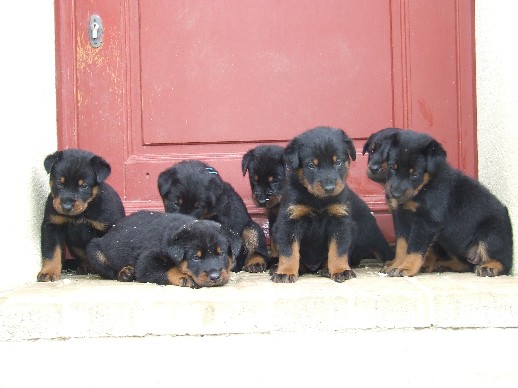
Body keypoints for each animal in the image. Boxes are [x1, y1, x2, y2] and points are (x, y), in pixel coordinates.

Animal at [37, 149, 126, 282]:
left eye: (84, 186)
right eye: (59, 183)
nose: (67, 207)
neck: (78, 215)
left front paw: (121, 270)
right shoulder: (52, 225)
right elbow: (51, 252)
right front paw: (48, 272)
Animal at [86, 211, 241, 286]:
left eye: (221, 254)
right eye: (196, 258)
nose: (215, 277)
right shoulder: (146, 261)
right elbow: (168, 269)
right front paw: (184, 277)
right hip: (94, 251)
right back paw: (125, 273)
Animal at [272, 126, 394, 284]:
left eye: (338, 162)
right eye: (311, 165)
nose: (329, 188)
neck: (318, 200)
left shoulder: (339, 221)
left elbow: (338, 250)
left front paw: (340, 270)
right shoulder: (290, 221)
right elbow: (288, 251)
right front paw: (285, 272)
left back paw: (326, 268)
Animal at [382, 130, 516, 276]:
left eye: (415, 174)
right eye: (392, 167)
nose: (395, 194)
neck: (425, 186)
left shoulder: (426, 221)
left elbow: (414, 249)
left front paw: (406, 268)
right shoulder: (401, 218)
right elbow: (401, 246)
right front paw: (396, 264)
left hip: (491, 234)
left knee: (503, 261)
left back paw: (489, 267)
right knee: (464, 264)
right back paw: (441, 265)